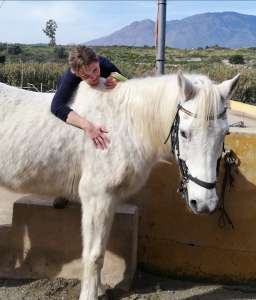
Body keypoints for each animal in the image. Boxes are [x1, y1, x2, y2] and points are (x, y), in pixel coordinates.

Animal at [0, 71, 239, 298]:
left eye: (225, 132)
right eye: (184, 133)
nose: (205, 203)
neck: (124, 125)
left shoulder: (110, 200)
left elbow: (102, 250)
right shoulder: (97, 197)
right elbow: (94, 255)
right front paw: (90, 295)